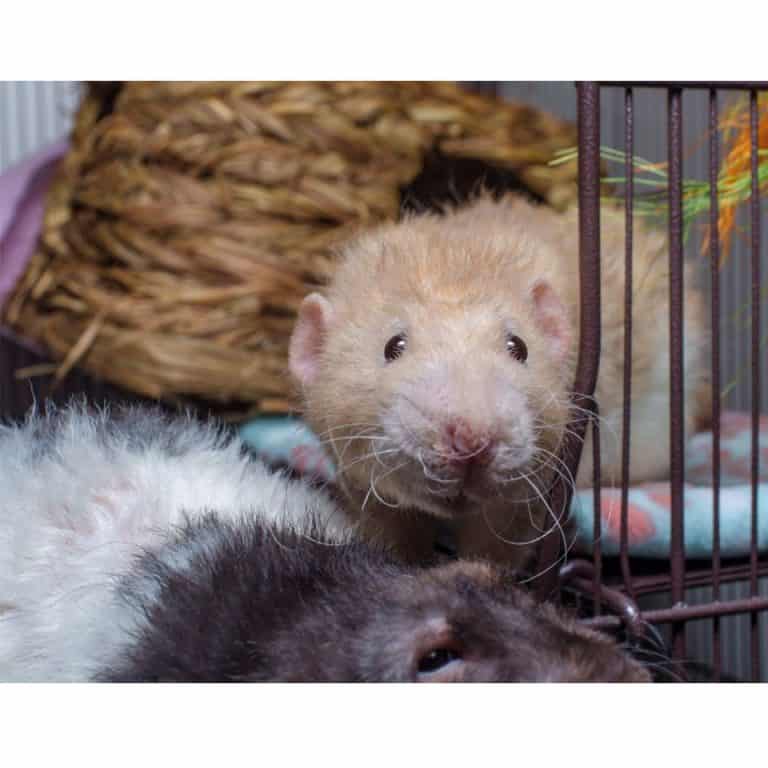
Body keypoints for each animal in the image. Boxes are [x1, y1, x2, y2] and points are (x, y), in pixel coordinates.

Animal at [289, 195, 709, 567]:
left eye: (518, 346)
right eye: (393, 346)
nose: (472, 439)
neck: (449, 261)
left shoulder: (535, 481)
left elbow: (500, 536)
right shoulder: (363, 483)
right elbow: (388, 525)